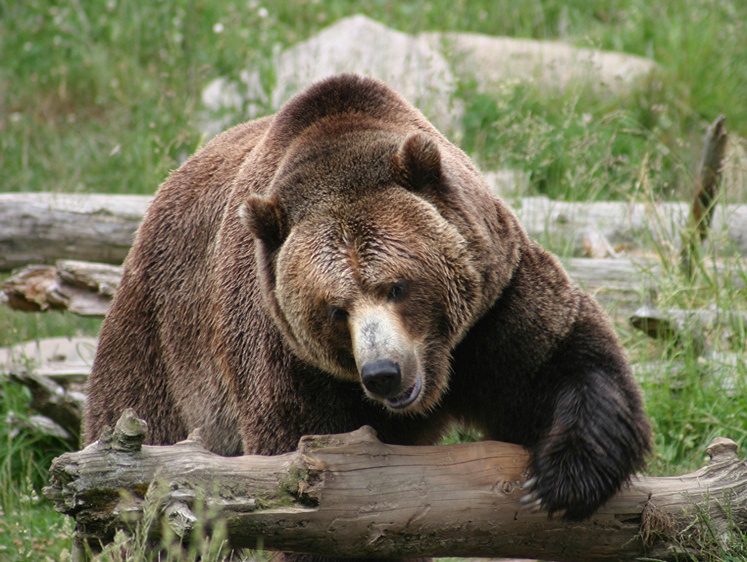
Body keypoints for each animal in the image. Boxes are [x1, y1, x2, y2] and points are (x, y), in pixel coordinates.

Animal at [84, 74, 652, 532]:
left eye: (397, 286)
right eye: (335, 309)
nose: (383, 372)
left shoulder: (492, 303)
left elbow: (563, 360)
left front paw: (559, 480)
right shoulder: (289, 358)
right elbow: (304, 461)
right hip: (159, 345)